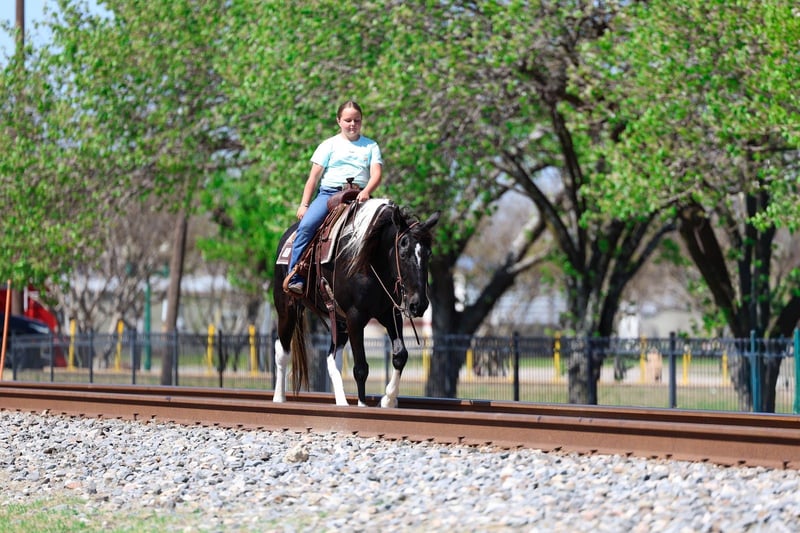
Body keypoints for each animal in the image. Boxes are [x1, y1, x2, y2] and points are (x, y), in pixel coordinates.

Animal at [272, 198, 439, 407]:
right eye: (403, 253)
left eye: (429, 253)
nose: (419, 304)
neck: (370, 262)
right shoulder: (355, 317)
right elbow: (361, 367)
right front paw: (363, 405)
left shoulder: (390, 314)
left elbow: (400, 355)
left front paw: (388, 400)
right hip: (287, 310)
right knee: (282, 352)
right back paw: (279, 398)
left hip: (339, 322)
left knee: (331, 358)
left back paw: (342, 403)